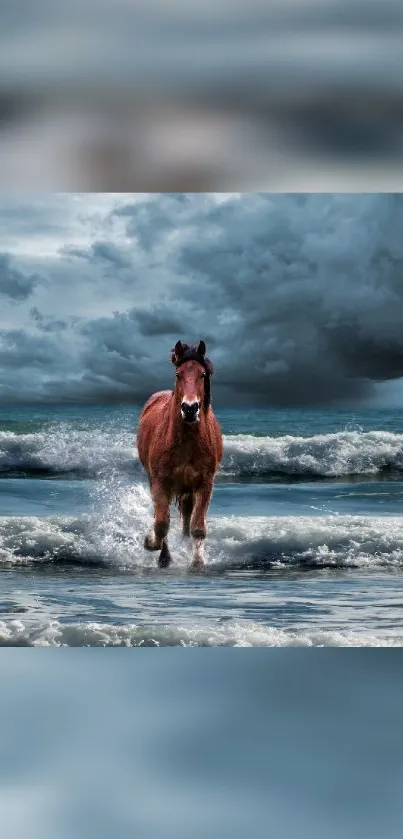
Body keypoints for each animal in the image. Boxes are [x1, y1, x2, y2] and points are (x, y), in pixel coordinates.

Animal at [137, 338, 224, 568]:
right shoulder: (160, 482)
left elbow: (198, 527)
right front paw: (151, 544)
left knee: (186, 515)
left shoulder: (204, 483)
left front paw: (197, 561)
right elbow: (161, 523)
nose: (190, 408)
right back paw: (164, 557)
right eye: (178, 374)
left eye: (202, 374)